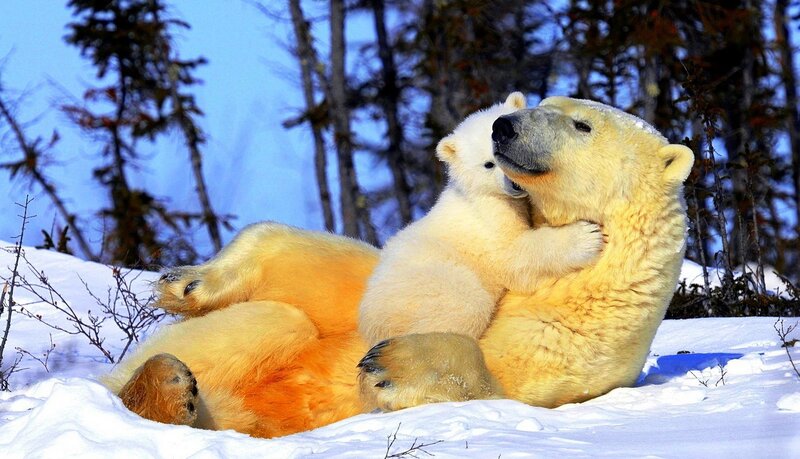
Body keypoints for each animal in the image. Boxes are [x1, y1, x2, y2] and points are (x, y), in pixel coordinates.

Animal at [359, 92, 605, 346]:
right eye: (489, 164)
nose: (514, 184)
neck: (477, 191)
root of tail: (371, 323)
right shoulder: (489, 215)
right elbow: (513, 253)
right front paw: (587, 237)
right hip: (435, 284)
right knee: (464, 307)